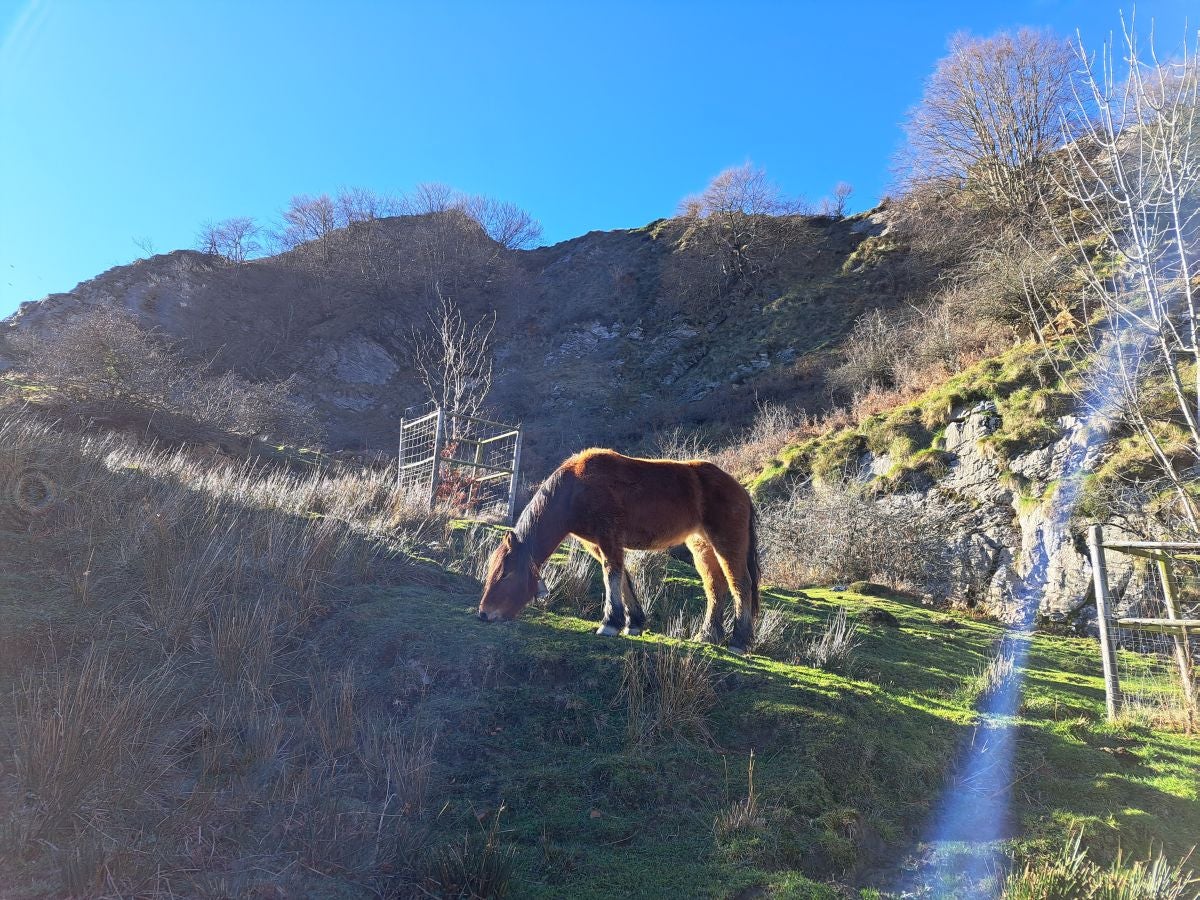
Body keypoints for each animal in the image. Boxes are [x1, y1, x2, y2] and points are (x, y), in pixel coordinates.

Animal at [475, 451, 758, 657]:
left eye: (507, 574)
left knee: (740, 585)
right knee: (715, 587)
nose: (484, 614)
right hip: (701, 546)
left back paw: (738, 641)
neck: (577, 488)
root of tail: (740, 490)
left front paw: (610, 623)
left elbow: (611, 576)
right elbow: (622, 578)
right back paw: (708, 635)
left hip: (726, 543)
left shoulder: (609, 538)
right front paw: (633, 622)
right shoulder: (598, 545)